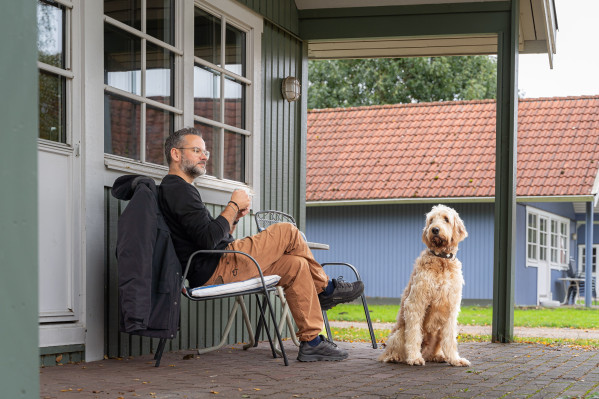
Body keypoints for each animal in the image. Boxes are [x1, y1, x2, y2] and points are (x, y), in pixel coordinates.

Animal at [382, 206, 472, 368]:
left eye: (446, 219)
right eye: (431, 220)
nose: (434, 230)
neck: (442, 260)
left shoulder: (452, 307)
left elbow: (450, 339)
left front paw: (455, 359)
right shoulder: (416, 302)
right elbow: (414, 335)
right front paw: (414, 358)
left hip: (437, 332)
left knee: (434, 350)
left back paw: (438, 356)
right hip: (399, 334)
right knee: (395, 350)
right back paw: (396, 357)